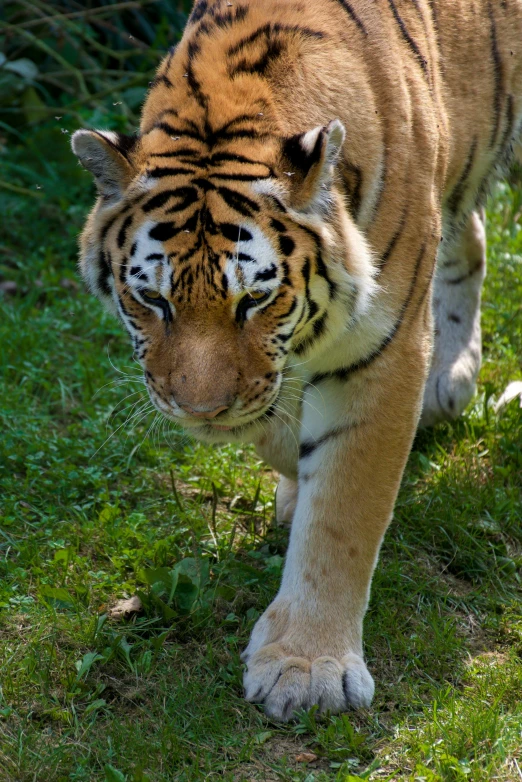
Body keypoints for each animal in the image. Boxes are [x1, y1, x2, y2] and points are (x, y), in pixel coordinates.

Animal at [71, 0, 520, 724]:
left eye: (255, 298)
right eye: (152, 299)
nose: (200, 410)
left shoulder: (382, 348)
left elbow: (342, 510)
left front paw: (308, 668)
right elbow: (282, 431)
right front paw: (289, 483)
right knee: (470, 227)